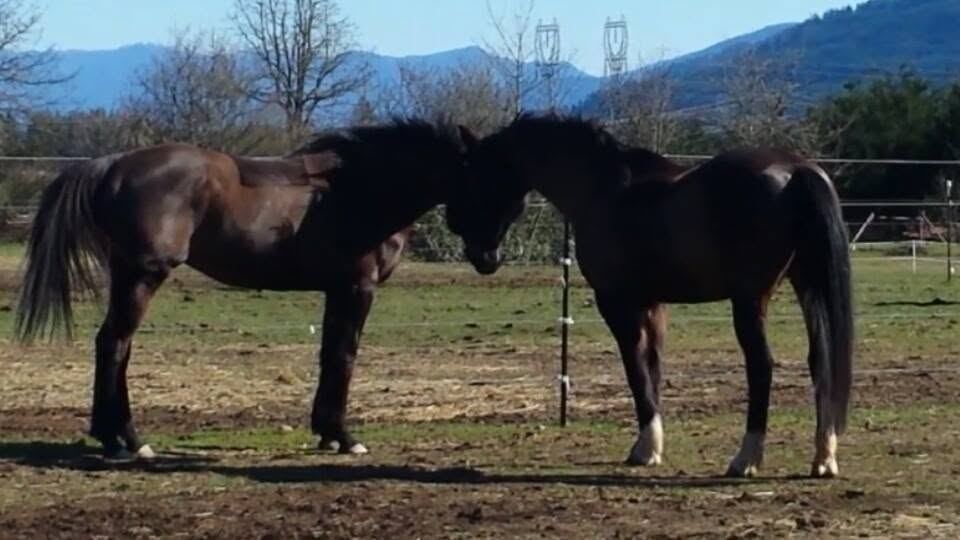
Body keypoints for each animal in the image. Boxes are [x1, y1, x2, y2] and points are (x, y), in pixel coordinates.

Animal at [15, 119, 471, 460]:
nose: (483, 254)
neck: (358, 189)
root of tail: (112, 165)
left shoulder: (336, 291)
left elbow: (329, 355)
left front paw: (326, 433)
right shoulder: (357, 288)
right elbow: (344, 356)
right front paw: (344, 436)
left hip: (127, 274)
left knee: (113, 345)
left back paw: (110, 436)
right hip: (142, 275)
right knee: (114, 344)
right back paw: (127, 439)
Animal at [448, 115, 853, 478]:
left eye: (472, 178)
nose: (480, 257)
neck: (602, 189)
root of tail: (797, 170)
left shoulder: (616, 302)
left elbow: (635, 370)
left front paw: (644, 450)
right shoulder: (653, 306)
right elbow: (653, 367)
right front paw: (654, 444)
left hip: (751, 299)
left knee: (761, 366)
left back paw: (746, 460)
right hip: (807, 285)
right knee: (821, 361)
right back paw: (824, 459)